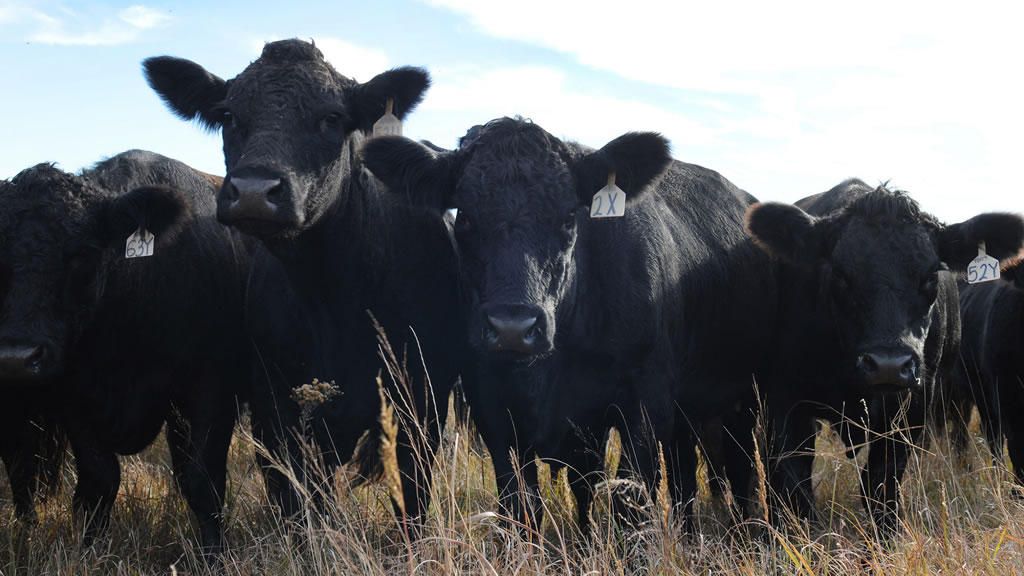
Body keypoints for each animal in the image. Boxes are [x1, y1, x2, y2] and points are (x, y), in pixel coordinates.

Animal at [0, 151, 251, 553]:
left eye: (84, 253)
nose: (16, 357)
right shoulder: (74, 398)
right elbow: (98, 481)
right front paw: (90, 551)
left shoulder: (211, 390)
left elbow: (203, 481)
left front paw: (215, 555)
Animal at [142, 39, 462, 520]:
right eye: (228, 115)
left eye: (331, 117)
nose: (254, 191)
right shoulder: (276, 408)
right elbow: (297, 501)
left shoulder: (421, 405)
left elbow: (412, 501)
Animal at [362, 116, 774, 528]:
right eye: (464, 216)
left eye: (567, 217)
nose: (513, 328)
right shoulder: (492, 410)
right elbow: (523, 506)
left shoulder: (646, 401)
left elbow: (626, 501)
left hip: (744, 400)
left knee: (737, 468)